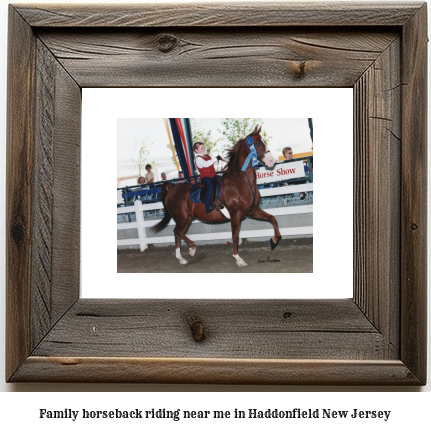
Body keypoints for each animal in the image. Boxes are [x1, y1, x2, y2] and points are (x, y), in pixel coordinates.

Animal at [154, 125, 282, 266]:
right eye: (258, 143)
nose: (271, 161)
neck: (240, 182)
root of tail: (172, 188)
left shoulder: (252, 211)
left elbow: (272, 218)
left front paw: (273, 241)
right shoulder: (235, 215)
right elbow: (235, 236)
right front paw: (238, 258)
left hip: (187, 218)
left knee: (178, 233)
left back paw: (182, 257)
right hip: (181, 218)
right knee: (177, 231)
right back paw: (192, 248)